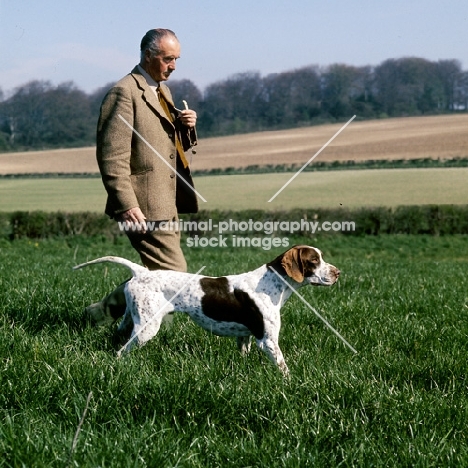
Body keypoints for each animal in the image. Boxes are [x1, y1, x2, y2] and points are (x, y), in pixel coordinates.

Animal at [76, 245, 340, 372]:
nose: (338, 272)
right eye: (314, 260)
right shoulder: (267, 341)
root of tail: (140, 272)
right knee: (122, 352)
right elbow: (283, 368)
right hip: (147, 328)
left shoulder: (244, 336)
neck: (273, 284)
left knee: (118, 340)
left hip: (132, 320)